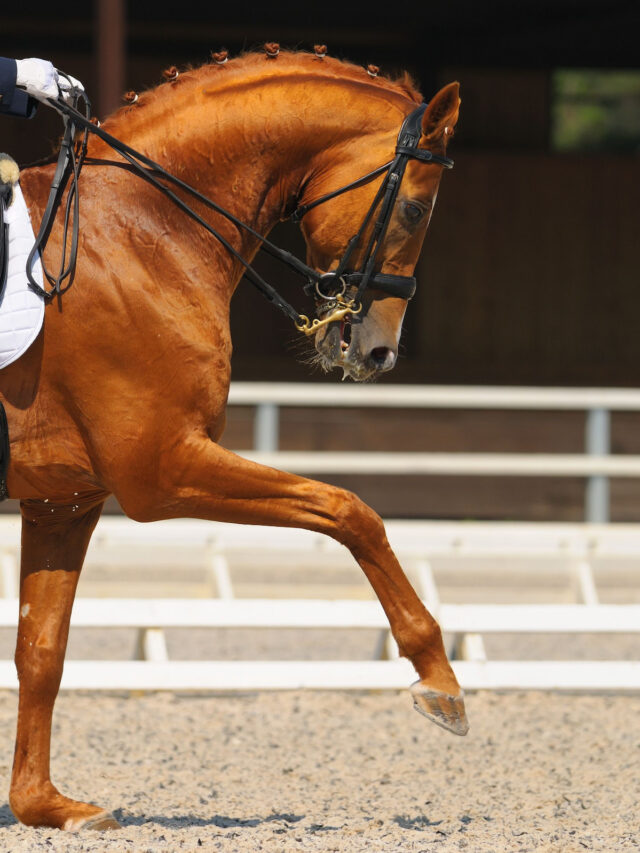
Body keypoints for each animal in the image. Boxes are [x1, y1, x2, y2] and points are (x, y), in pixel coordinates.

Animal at [1, 48, 464, 831]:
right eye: (415, 206)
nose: (378, 352)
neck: (135, 231)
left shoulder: (65, 500)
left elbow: (42, 649)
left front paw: (44, 805)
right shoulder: (161, 472)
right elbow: (349, 510)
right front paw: (440, 680)